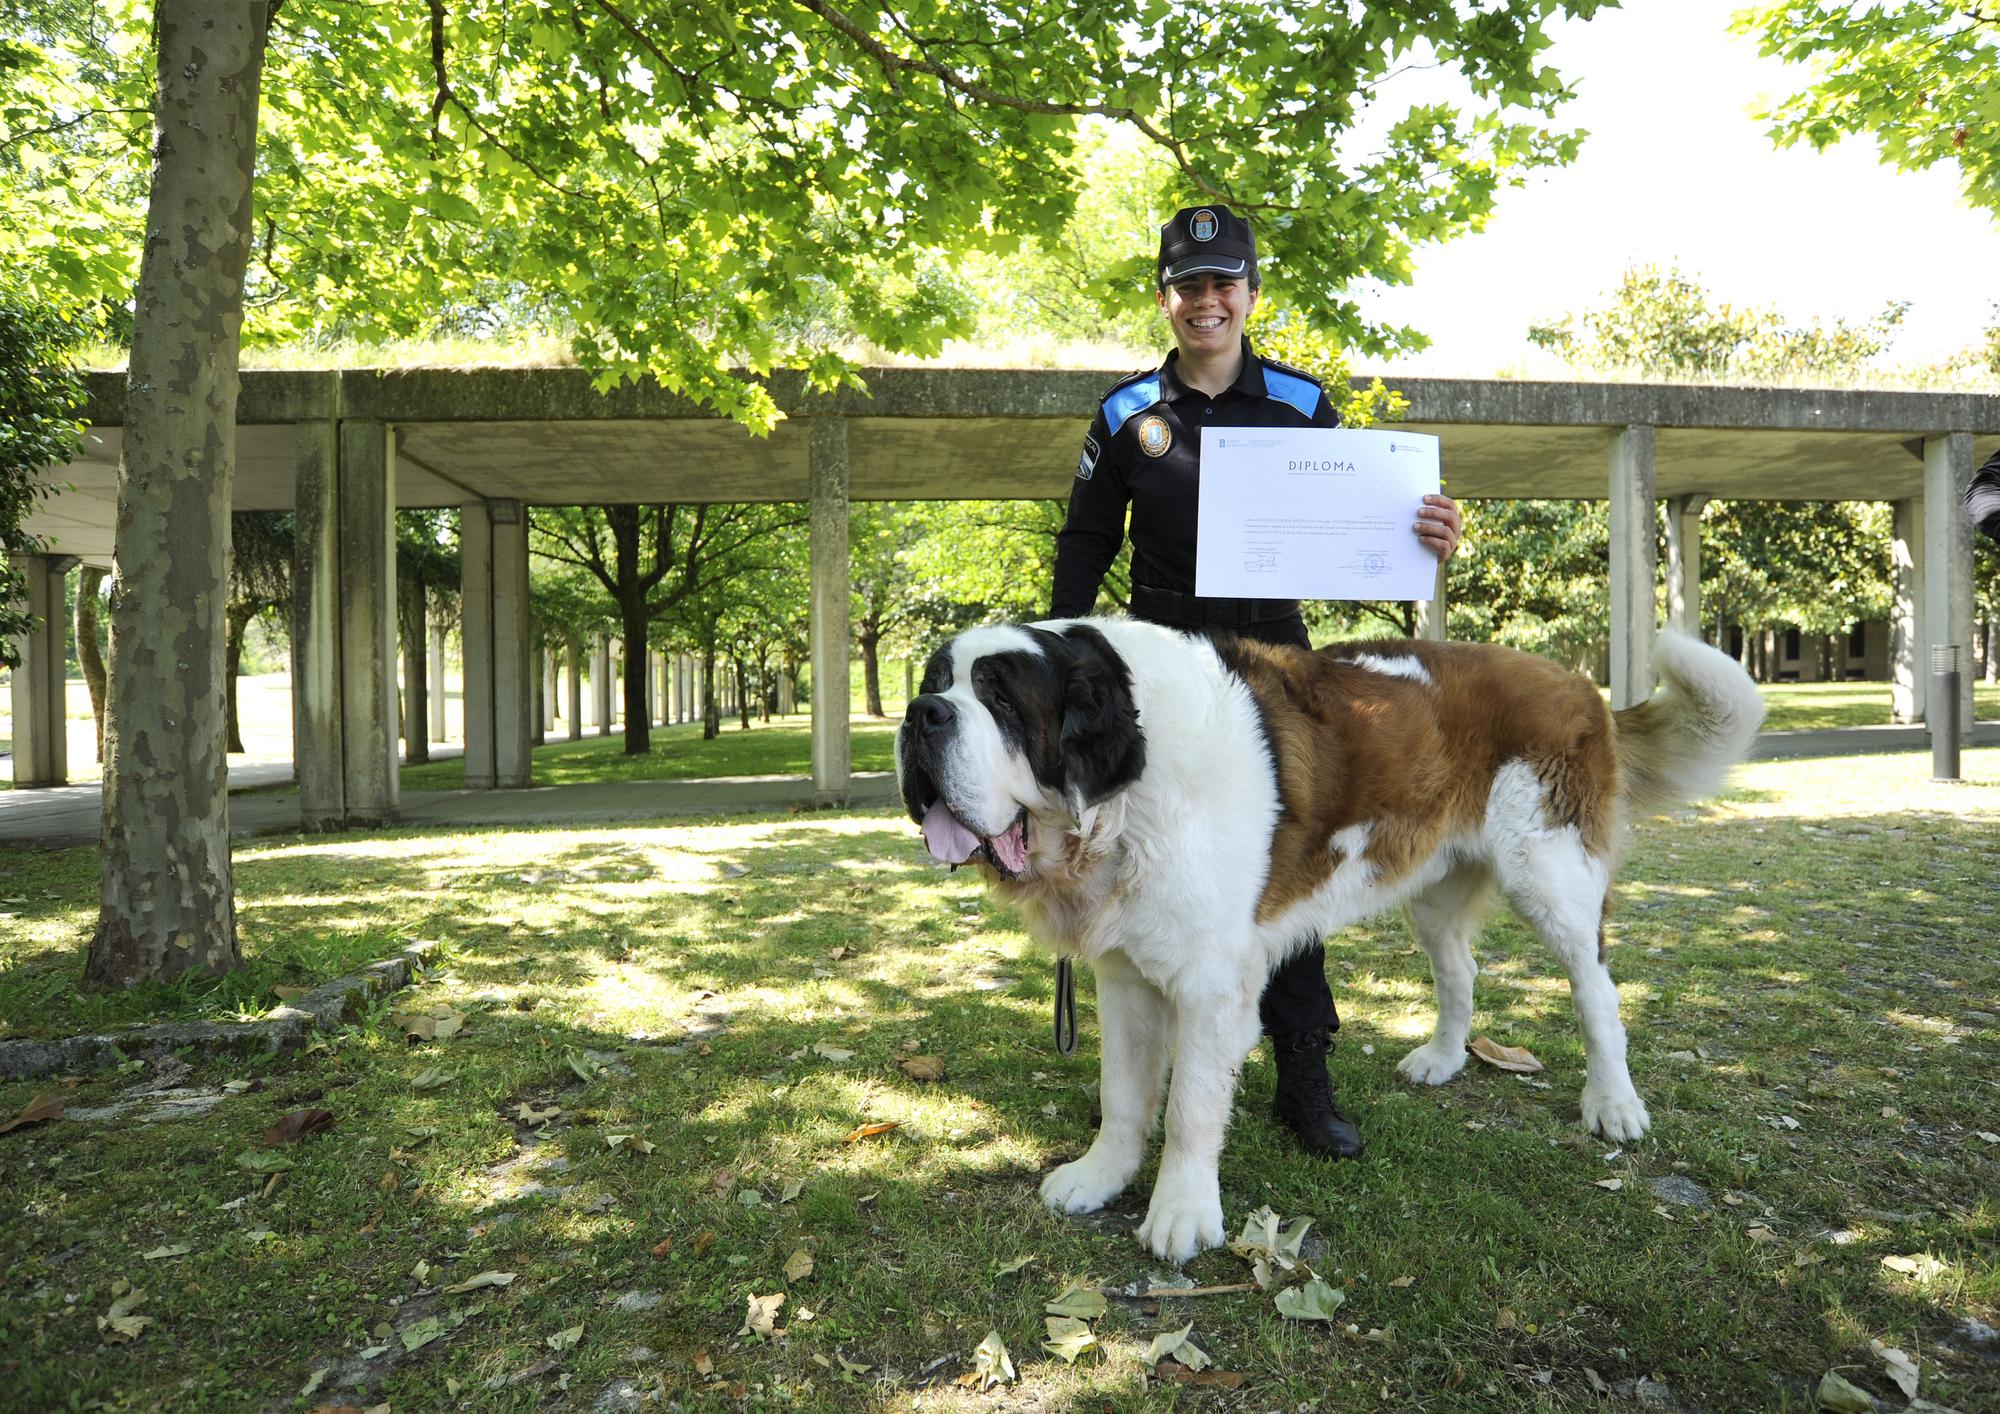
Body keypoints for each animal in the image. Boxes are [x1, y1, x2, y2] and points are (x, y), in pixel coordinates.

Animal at [900, 620, 1760, 1264]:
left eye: (1001, 699)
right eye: (937, 679)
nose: (921, 714)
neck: (1125, 791)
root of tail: (1580, 682)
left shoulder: (1211, 985)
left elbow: (1188, 1106)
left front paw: (1181, 1215)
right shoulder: (1126, 972)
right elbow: (1124, 1093)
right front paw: (1099, 1177)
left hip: (1551, 876)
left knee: (1596, 991)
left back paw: (1613, 1104)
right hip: (1434, 883)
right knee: (1460, 968)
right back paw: (1444, 1059)